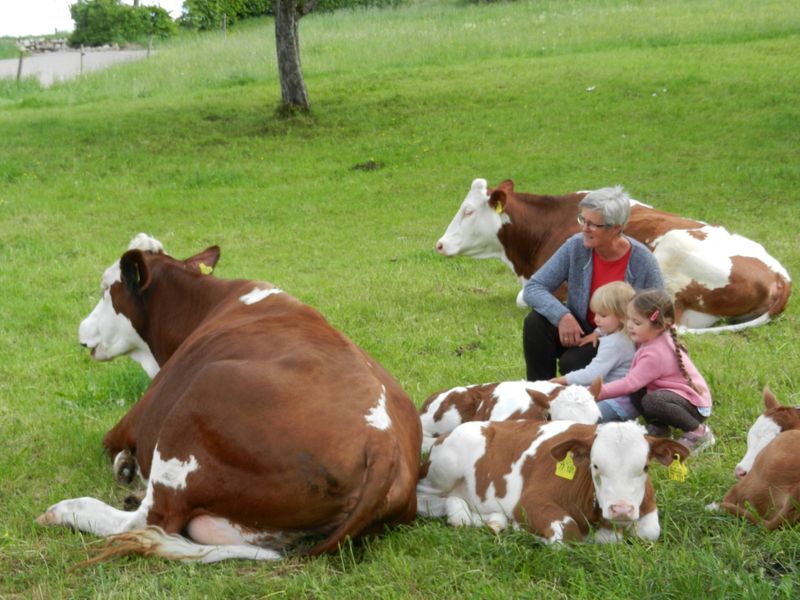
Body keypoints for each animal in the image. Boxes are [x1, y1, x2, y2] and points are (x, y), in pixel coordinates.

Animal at [39, 236, 424, 564]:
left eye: (106, 289)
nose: (82, 330)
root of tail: (383, 442)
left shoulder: (130, 422)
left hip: (196, 402)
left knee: (149, 521)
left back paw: (66, 510)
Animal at [418, 422, 688, 544]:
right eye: (595, 465)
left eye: (645, 467)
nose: (621, 509)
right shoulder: (529, 503)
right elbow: (566, 533)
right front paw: (524, 531)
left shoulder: (648, 508)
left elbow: (650, 532)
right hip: (444, 468)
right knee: (427, 501)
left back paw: (496, 521)